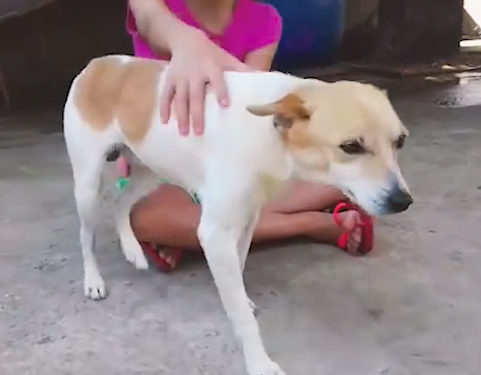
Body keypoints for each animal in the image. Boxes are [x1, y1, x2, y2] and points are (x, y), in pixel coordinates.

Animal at [62, 55, 410, 375]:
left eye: (400, 141)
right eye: (351, 146)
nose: (402, 201)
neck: (272, 133)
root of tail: (100, 63)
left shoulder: (248, 218)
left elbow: (240, 271)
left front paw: (239, 300)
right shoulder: (215, 234)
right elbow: (243, 320)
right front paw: (259, 363)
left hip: (150, 173)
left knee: (120, 202)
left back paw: (133, 250)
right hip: (88, 185)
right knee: (85, 234)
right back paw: (93, 280)